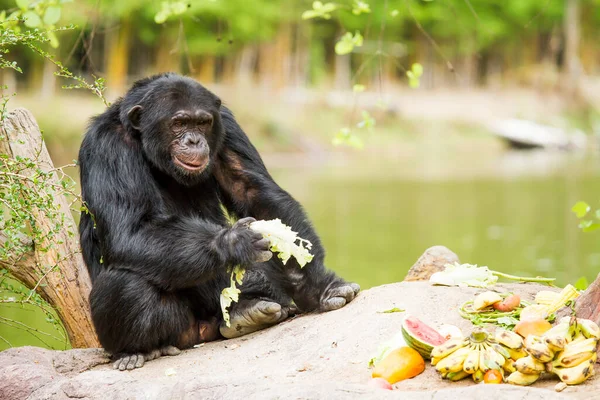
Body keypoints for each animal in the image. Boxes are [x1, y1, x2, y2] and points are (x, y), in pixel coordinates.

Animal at [77, 72, 358, 372]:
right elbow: (131, 230)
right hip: (181, 330)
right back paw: (138, 351)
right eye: (178, 123)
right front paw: (234, 243)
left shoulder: (227, 124)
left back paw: (248, 311)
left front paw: (315, 285)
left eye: (202, 122)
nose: (194, 141)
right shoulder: (107, 146)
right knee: (125, 283)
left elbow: (253, 191)